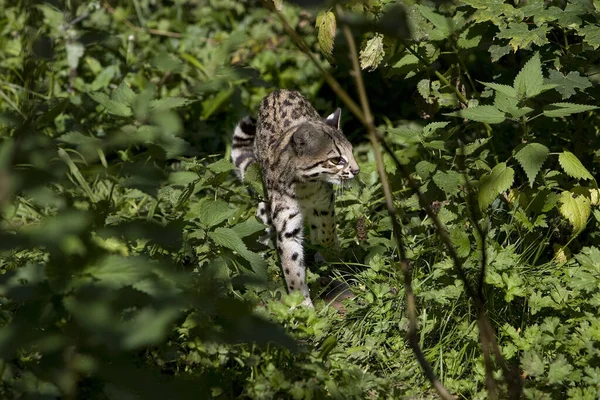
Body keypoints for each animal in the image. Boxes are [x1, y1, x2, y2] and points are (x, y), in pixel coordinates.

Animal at [232, 89, 358, 308]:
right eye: (336, 160)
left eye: (351, 152)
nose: (357, 170)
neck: (305, 187)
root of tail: (277, 91)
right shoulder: (286, 224)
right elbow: (292, 267)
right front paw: (302, 305)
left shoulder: (324, 203)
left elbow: (326, 233)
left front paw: (329, 255)